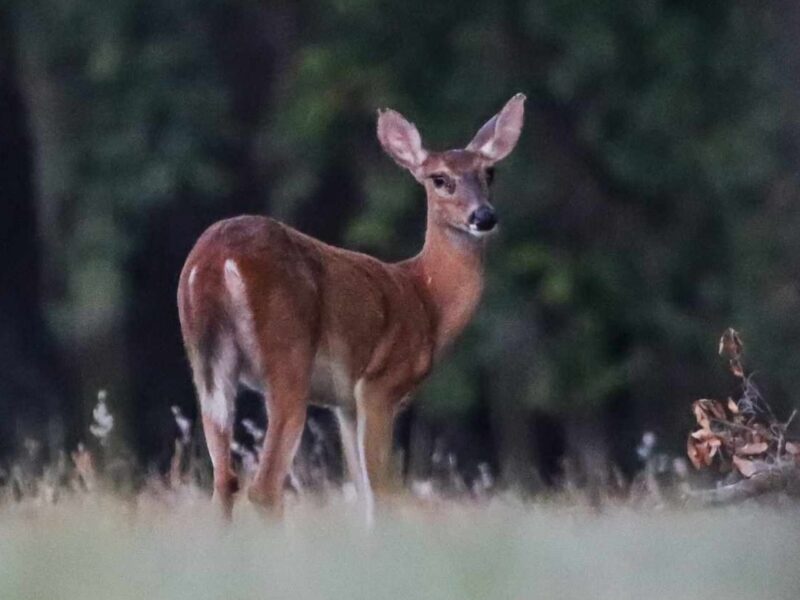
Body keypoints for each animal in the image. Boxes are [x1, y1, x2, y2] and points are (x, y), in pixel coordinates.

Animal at [177, 94, 524, 520]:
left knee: (224, 481)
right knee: (264, 487)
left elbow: (363, 493)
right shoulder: (379, 383)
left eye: (490, 172)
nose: (484, 216)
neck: (426, 297)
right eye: (439, 179)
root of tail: (213, 260)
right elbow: (384, 491)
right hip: (288, 352)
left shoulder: (344, 403)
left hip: (207, 362)